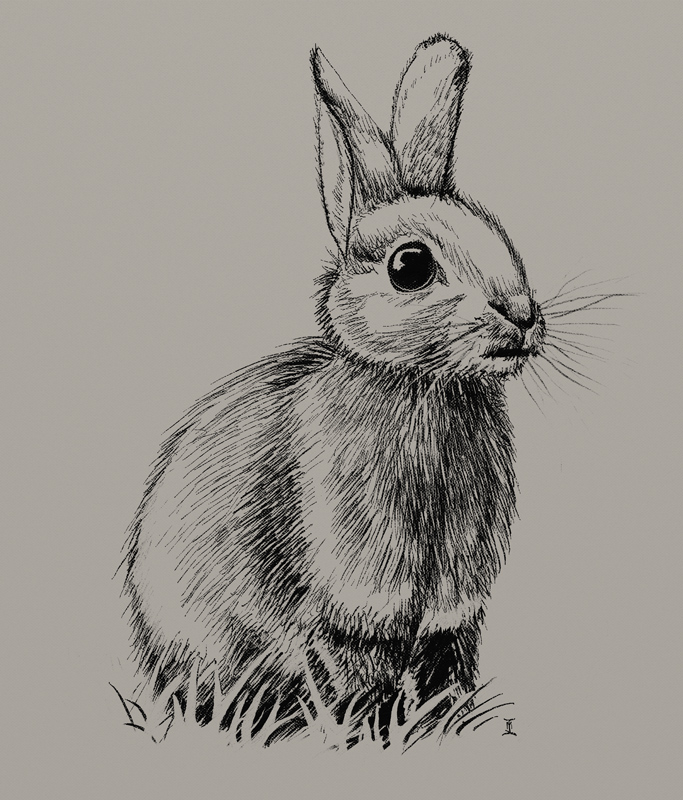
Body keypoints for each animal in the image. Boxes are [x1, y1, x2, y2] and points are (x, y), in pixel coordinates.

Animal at [122, 33, 546, 738]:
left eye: (499, 235)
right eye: (410, 266)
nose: (522, 317)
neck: (423, 385)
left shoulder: (453, 610)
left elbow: (444, 668)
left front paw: (442, 722)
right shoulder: (354, 598)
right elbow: (359, 671)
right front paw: (367, 732)